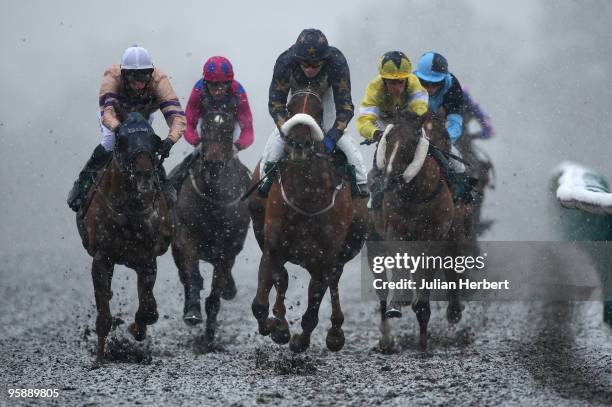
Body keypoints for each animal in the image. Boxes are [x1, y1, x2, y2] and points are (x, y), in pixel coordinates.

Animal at [77, 111, 172, 364]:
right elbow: (103, 313)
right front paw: (100, 359)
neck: (130, 210)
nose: (144, 176)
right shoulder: (102, 258)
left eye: (154, 141)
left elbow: (149, 307)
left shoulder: (147, 259)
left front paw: (137, 328)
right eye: (122, 141)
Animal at [171, 107, 250, 342]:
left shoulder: (227, 249)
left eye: (228, 130)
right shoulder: (186, 237)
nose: (214, 163)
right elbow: (193, 277)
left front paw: (209, 333)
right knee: (185, 276)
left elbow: (216, 292)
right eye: (204, 128)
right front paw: (193, 312)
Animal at [249, 89, 368, 354]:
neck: (305, 197)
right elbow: (266, 294)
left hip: (346, 249)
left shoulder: (325, 258)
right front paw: (277, 326)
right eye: (289, 108)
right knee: (279, 278)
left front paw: (298, 339)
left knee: (334, 280)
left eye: (320, 111)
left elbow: (313, 308)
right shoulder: (272, 246)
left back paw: (335, 332)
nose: (299, 144)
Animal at [368, 110, 468, 352]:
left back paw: (452, 310)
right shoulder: (395, 231)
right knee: (382, 287)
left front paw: (424, 338)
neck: (416, 196)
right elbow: (400, 262)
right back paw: (387, 337)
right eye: (387, 138)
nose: (389, 179)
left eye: (413, 142)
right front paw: (399, 302)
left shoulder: (437, 238)